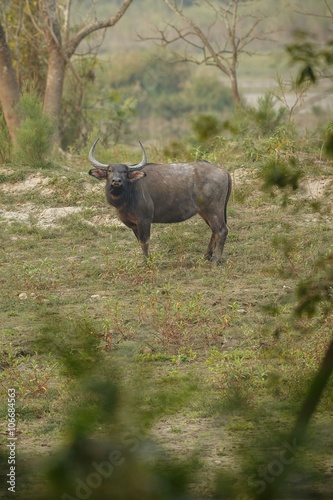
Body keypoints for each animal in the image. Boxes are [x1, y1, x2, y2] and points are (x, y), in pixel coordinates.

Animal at [87, 139, 231, 264]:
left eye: (125, 171)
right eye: (109, 170)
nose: (116, 181)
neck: (128, 195)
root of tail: (224, 171)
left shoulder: (144, 220)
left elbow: (145, 241)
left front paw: (147, 262)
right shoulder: (134, 224)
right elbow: (139, 241)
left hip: (213, 210)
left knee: (221, 230)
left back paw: (215, 260)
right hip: (204, 212)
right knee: (214, 231)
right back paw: (206, 256)